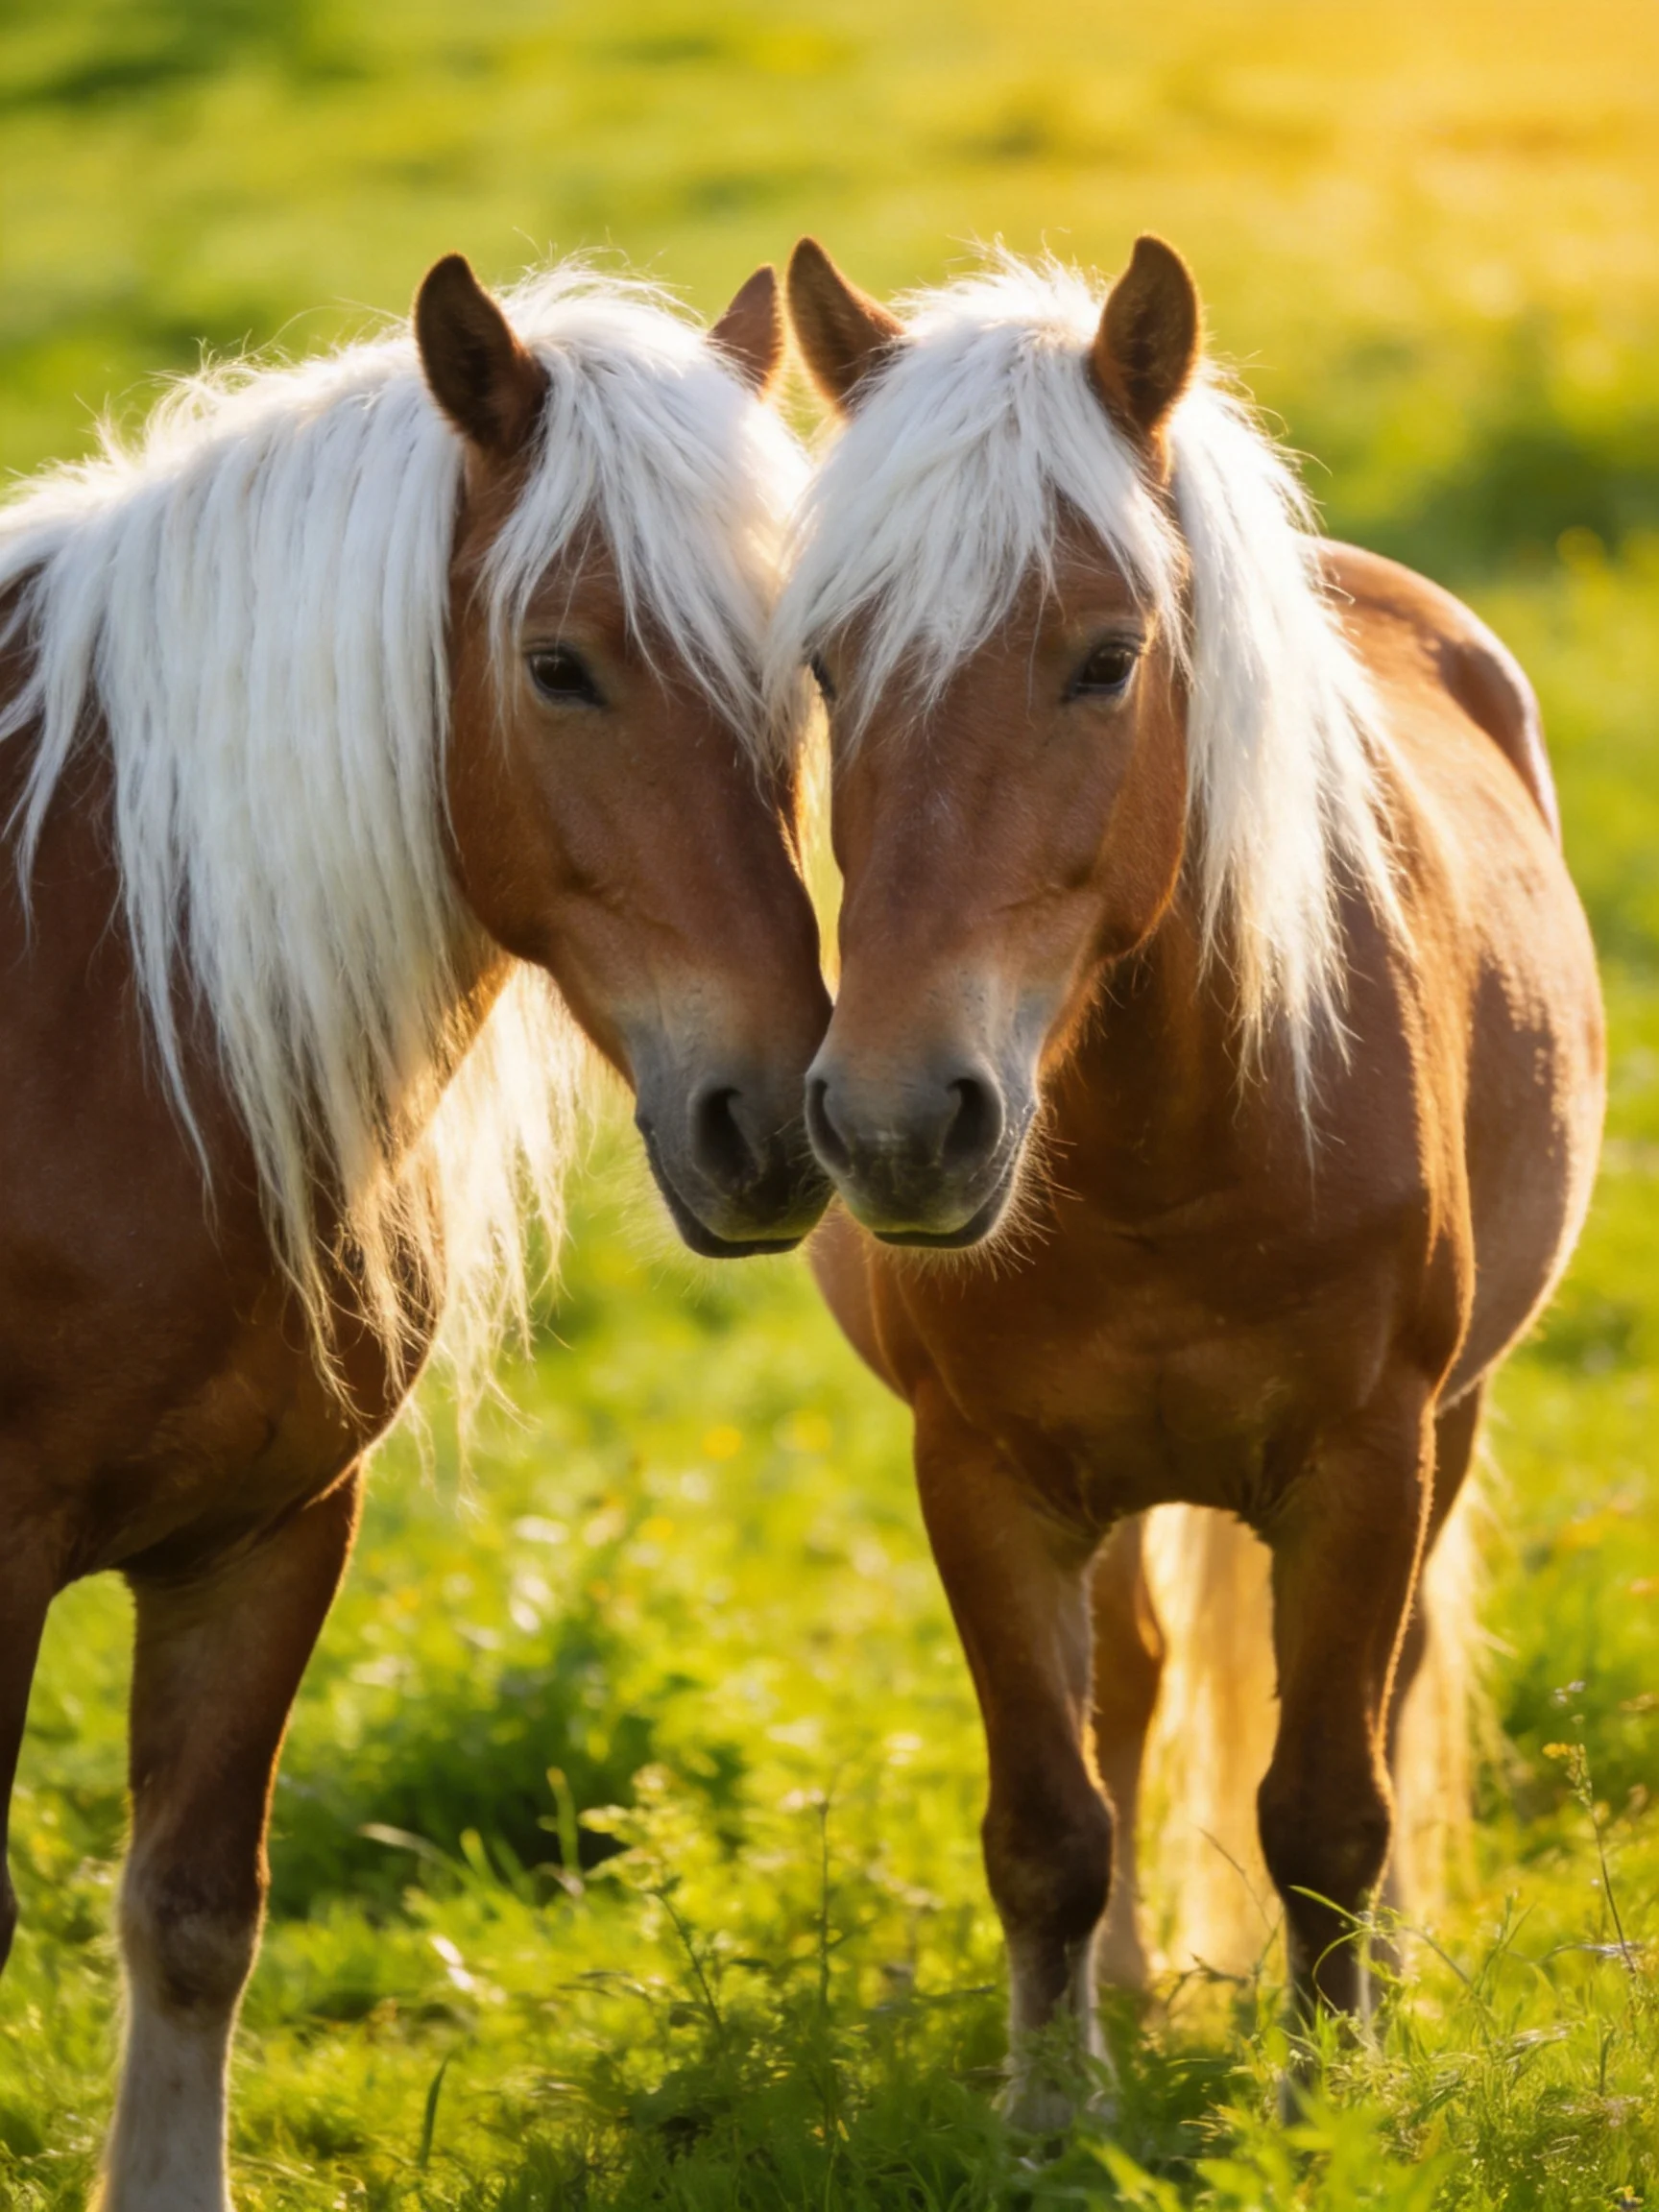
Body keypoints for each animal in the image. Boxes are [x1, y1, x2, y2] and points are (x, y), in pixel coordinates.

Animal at [778, 233, 1604, 2123]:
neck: (1171, 1146)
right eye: (830, 668)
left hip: (1446, 1426)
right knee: (1133, 1702)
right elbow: (1049, 1821)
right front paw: (1047, 2111)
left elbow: (1326, 1807)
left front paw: (1329, 2095)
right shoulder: (983, 1478)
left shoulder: (1366, 1463)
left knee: (1382, 1700)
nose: (896, 1122)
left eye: (1103, 659)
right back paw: (1129, 1997)